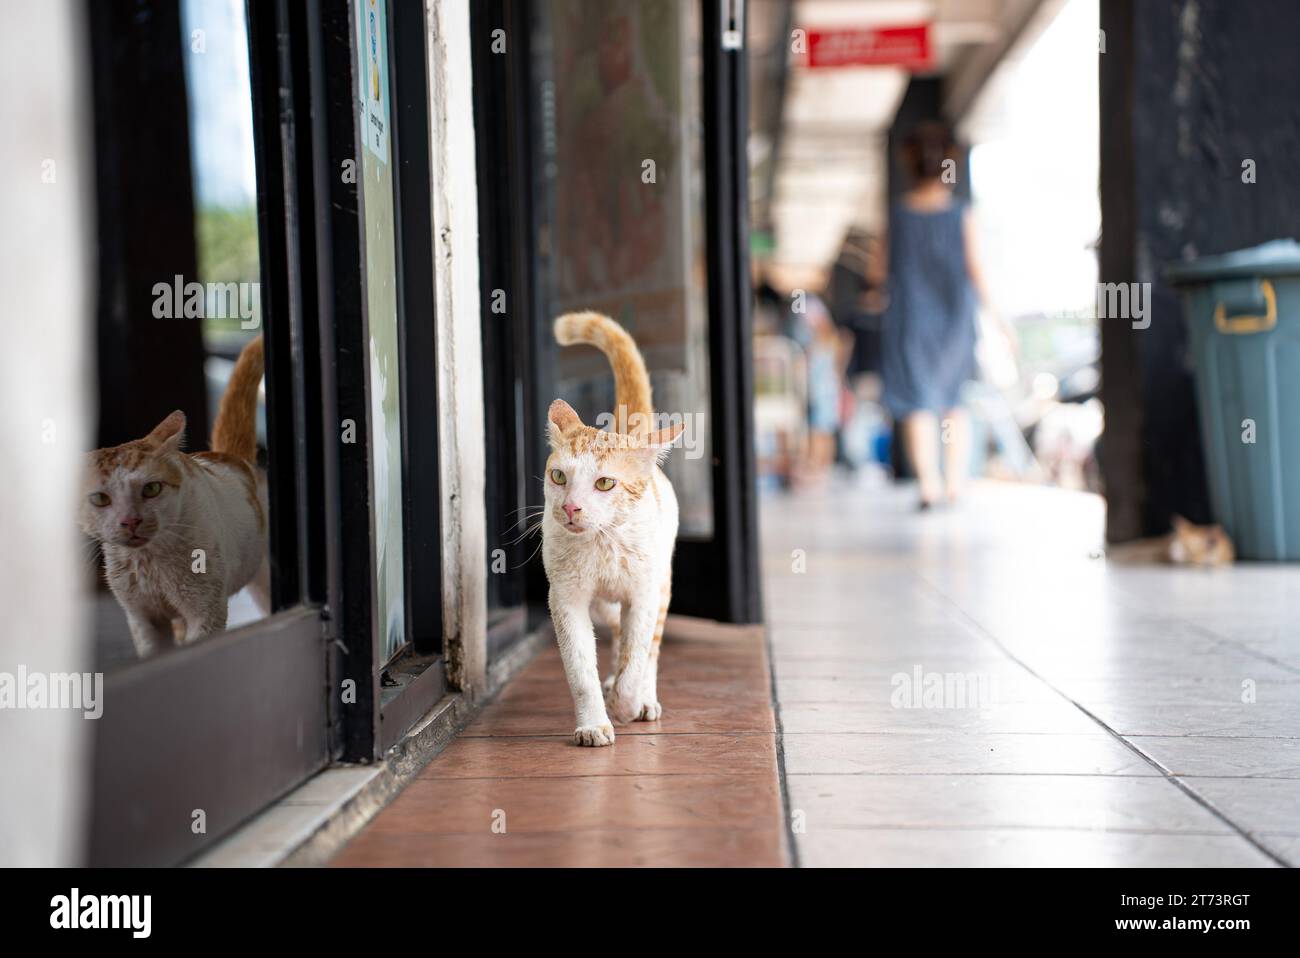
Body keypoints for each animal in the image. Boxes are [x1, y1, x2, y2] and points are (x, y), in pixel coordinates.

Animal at [81, 332, 269, 655]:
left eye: (151, 488)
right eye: (100, 498)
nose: (130, 521)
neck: (149, 563)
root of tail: (233, 458)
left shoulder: (205, 614)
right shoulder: (142, 618)